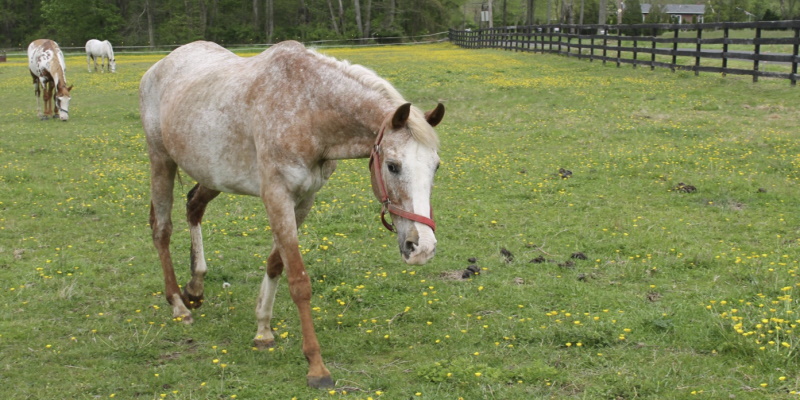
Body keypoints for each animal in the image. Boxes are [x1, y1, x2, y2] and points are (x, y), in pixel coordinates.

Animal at [141, 40, 446, 388]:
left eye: (436, 167)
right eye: (393, 166)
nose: (422, 248)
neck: (308, 112)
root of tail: (160, 65)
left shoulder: (304, 198)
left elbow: (276, 263)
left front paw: (263, 329)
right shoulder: (277, 195)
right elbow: (299, 281)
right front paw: (316, 366)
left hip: (211, 172)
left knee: (194, 206)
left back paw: (195, 287)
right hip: (161, 161)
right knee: (162, 229)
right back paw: (179, 305)